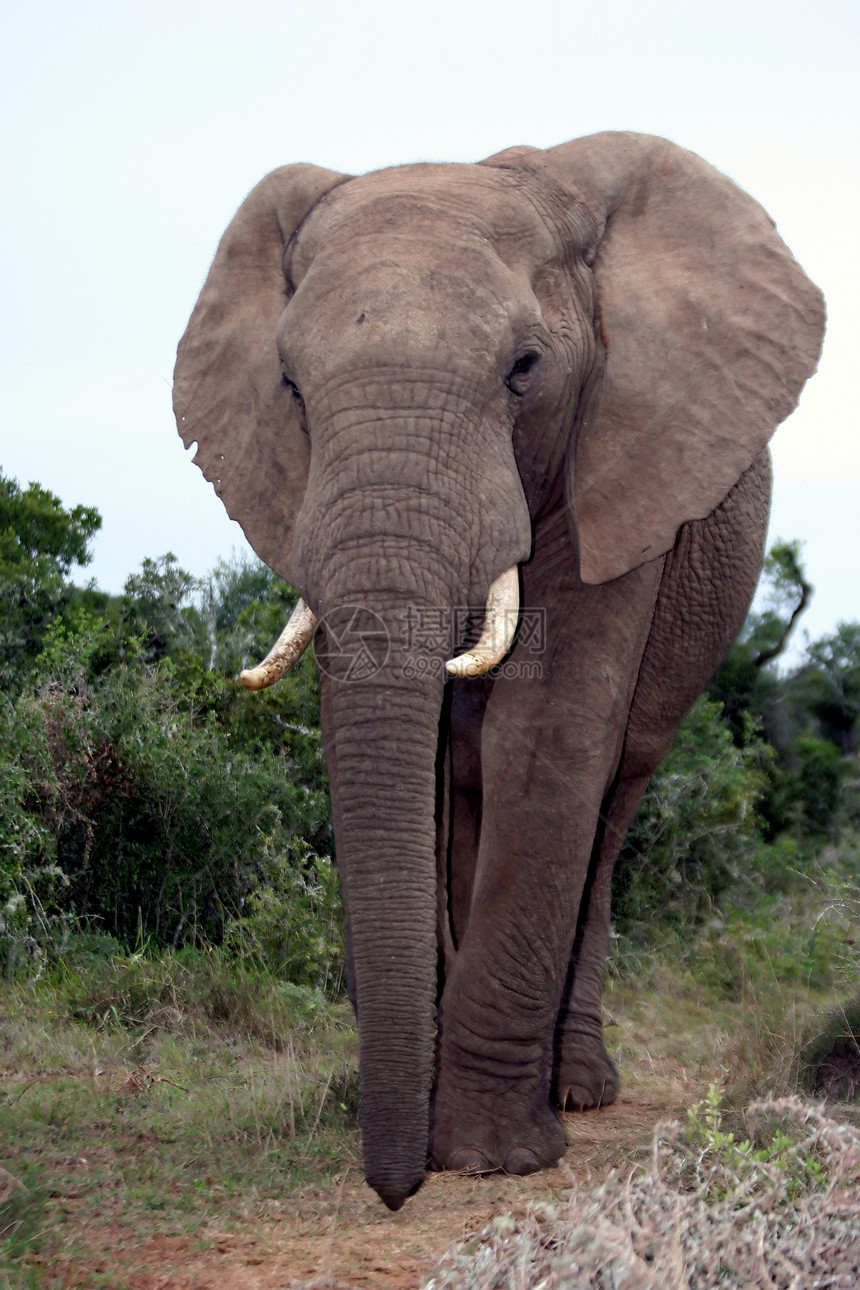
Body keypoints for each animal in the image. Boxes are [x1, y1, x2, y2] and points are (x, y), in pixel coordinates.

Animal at [171, 130, 825, 1207]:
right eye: (291, 388)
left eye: (524, 369)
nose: (394, 1192)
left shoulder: (621, 468)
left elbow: (547, 735)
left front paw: (486, 1157)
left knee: (606, 814)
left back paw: (579, 1090)